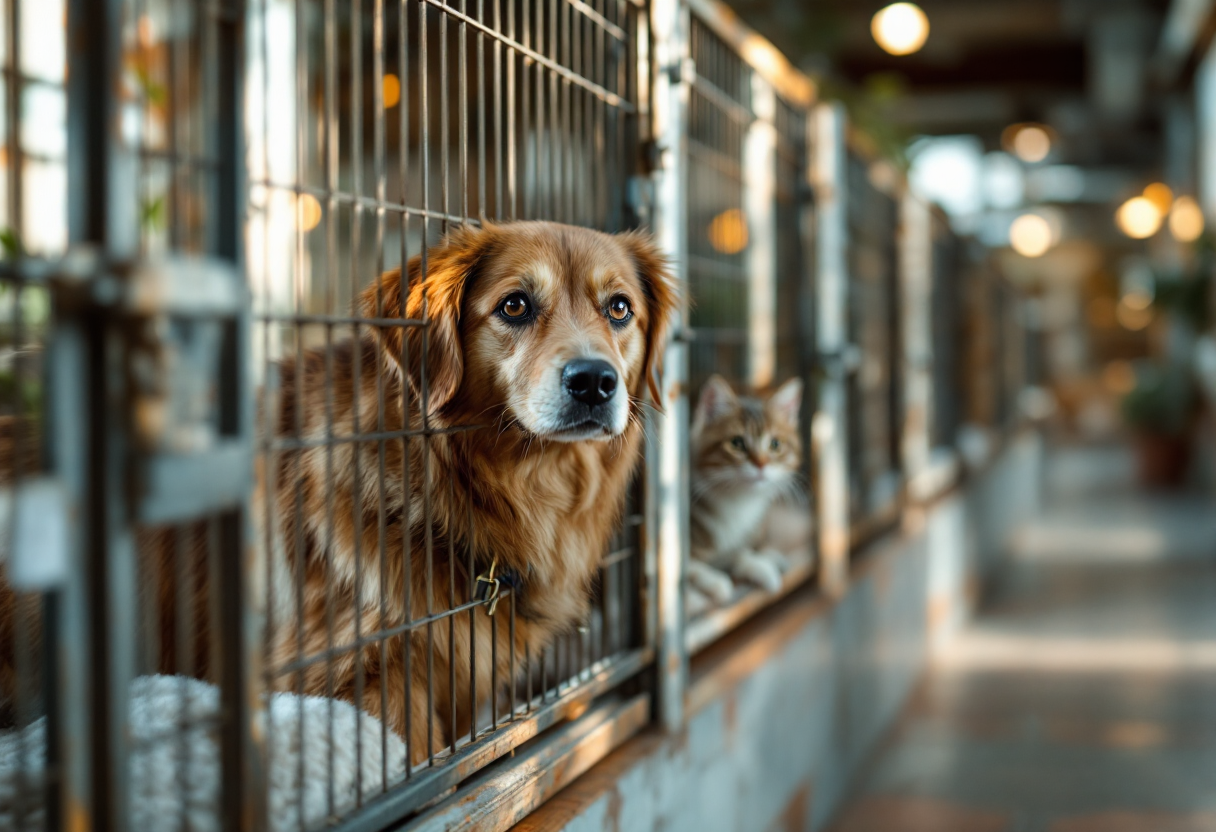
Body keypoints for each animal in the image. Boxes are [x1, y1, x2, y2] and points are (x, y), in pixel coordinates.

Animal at [685, 374, 807, 613]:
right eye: (736, 443)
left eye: (775, 444)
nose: (761, 464)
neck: (739, 500)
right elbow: (689, 565)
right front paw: (715, 582)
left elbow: (741, 552)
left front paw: (761, 567)